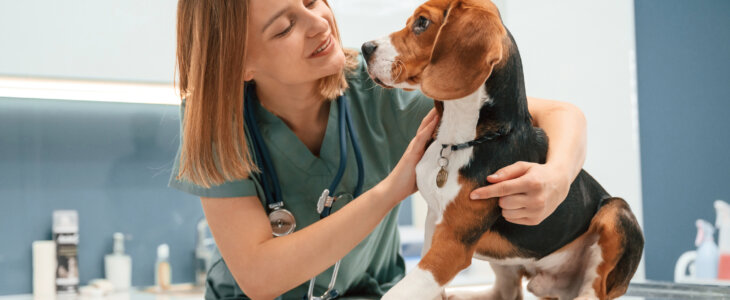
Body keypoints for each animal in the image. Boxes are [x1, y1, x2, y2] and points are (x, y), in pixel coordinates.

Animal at [362, 0, 640, 300]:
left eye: (422, 23)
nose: (365, 48)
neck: (460, 142)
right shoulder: (434, 220)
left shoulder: (452, 244)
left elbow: (396, 292)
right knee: (507, 292)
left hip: (618, 214)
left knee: (593, 289)